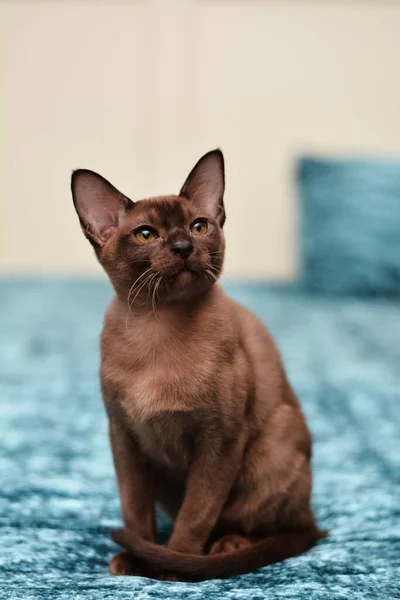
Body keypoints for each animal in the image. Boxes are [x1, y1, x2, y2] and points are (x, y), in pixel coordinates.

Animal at [70, 148, 324, 580]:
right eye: (146, 234)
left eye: (199, 226)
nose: (184, 246)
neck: (157, 330)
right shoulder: (125, 437)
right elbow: (135, 511)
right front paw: (137, 562)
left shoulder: (218, 441)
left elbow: (196, 515)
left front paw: (174, 568)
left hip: (272, 445)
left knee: (273, 526)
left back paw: (226, 546)